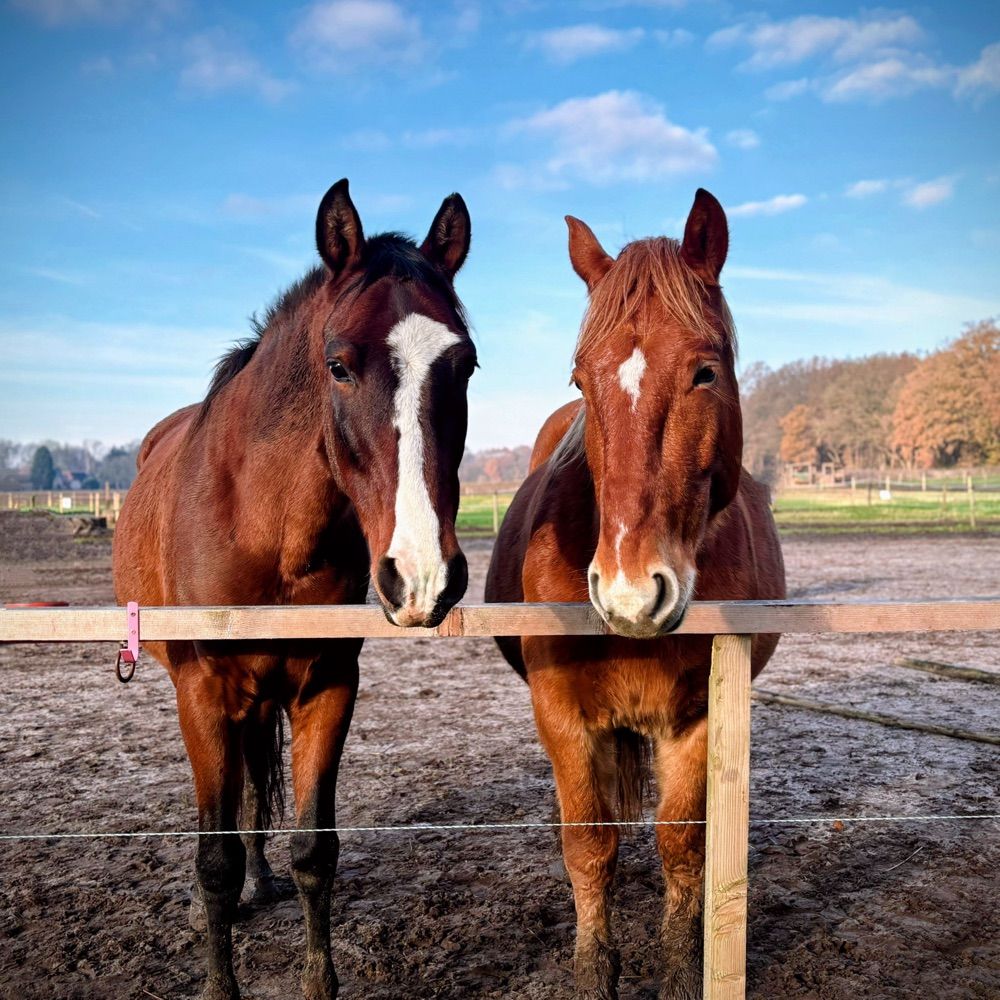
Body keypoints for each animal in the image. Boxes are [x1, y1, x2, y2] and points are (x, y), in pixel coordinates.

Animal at [111, 182, 478, 1000]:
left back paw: (263, 880)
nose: (423, 575)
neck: (263, 527)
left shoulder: (326, 687)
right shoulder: (204, 694)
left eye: (465, 365)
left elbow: (314, 848)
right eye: (338, 365)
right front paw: (220, 978)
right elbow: (212, 858)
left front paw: (318, 978)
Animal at [482, 189, 780, 1000]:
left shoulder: (699, 715)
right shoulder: (560, 713)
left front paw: (679, 967)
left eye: (706, 373)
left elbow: (682, 844)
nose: (629, 594)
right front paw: (595, 970)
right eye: (581, 381)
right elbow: (590, 844)